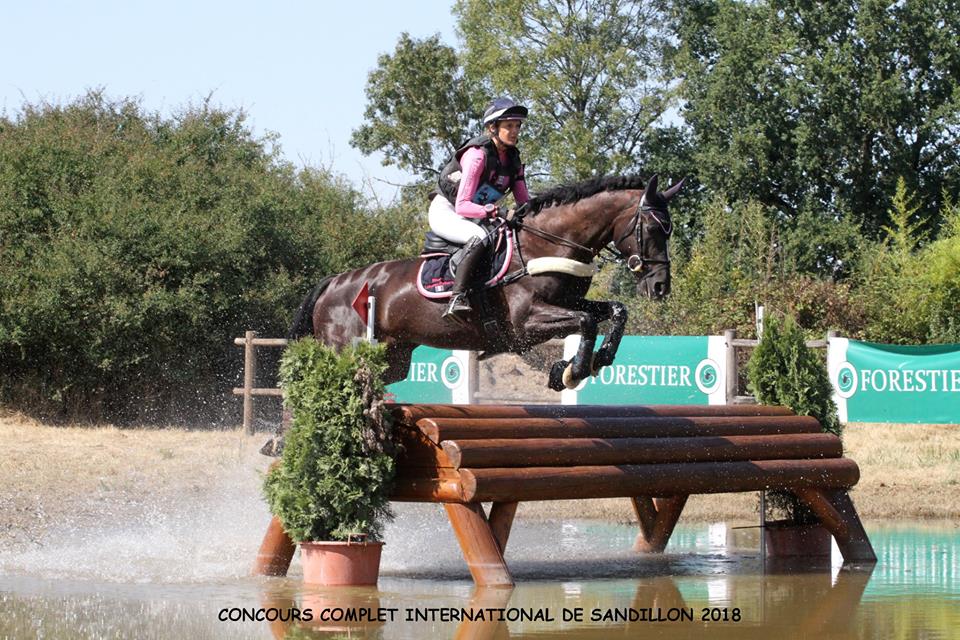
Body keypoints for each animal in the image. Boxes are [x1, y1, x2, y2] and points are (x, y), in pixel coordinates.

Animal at [286, 174, 684, 390]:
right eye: (653, 228)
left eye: (669, 229)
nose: (660, 287)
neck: (546, 242)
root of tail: (334, 283)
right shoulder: (525, 322)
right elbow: (587, 321)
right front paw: (571, 372)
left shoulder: (566, 304)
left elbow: (615, 311)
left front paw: (597, 360)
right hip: (345, 350)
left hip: (393, 359)